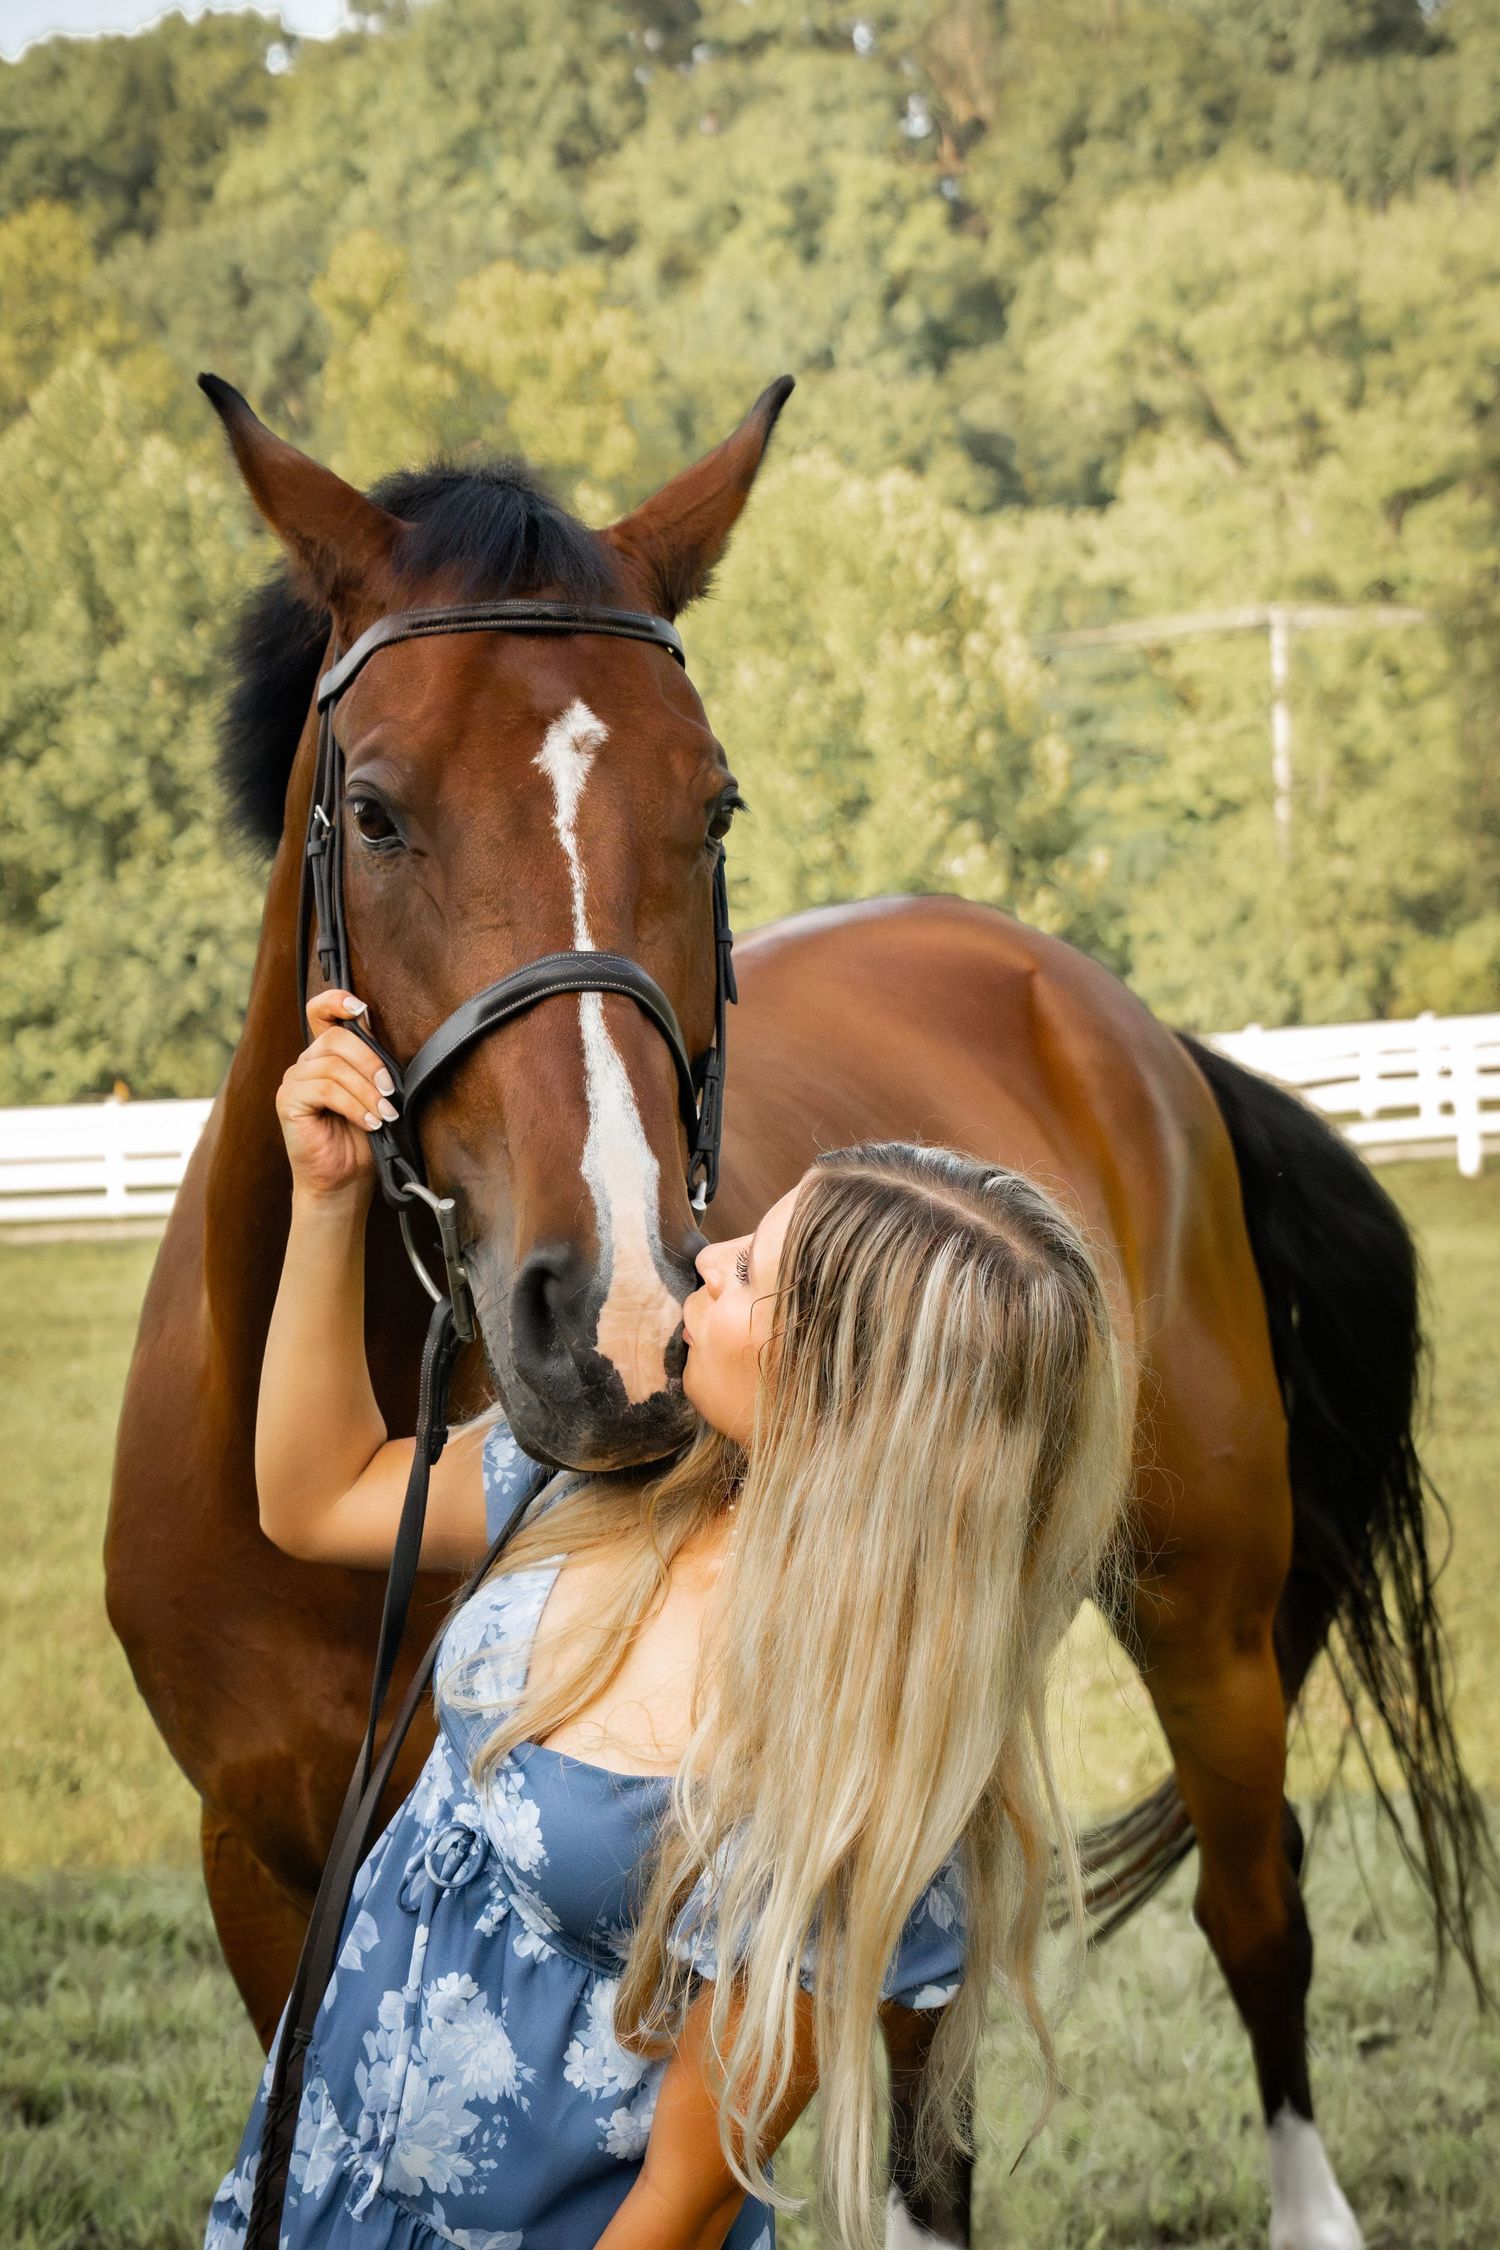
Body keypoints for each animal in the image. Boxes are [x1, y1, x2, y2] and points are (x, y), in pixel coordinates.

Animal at [106, 376, 1493, 2250]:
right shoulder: (258, 1877)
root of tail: (1111, 1014)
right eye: (376, 809)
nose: (617, 1321)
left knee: (1252, 1914)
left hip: (1208, 1620)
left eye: (714, 809)